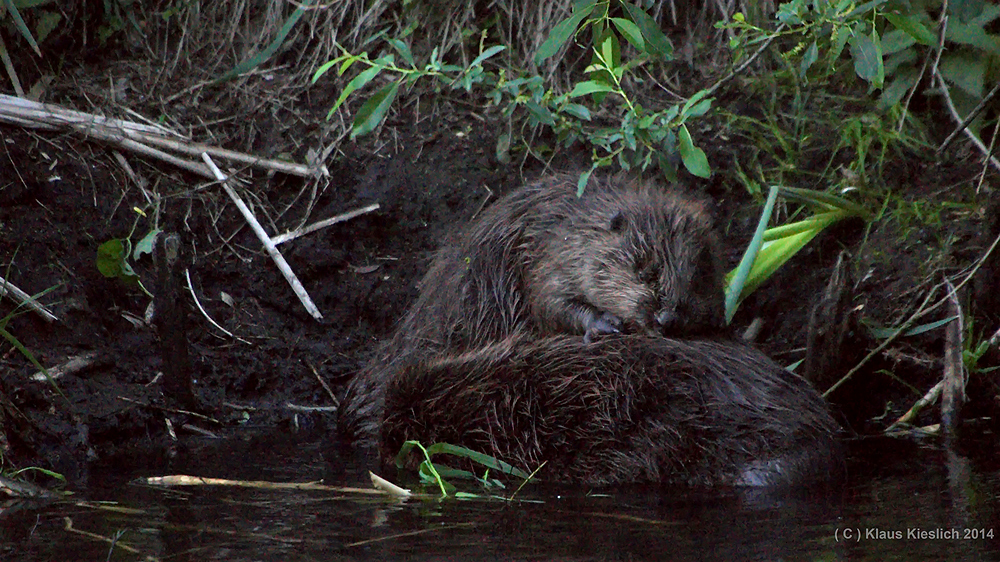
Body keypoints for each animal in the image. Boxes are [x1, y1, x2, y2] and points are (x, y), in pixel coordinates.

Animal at [340, 173, 724, 444]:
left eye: (700, 273)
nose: (667, 318)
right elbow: (550, 302)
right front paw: (605, 323)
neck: (581, 222)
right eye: (645, 270)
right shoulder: (549, 256)